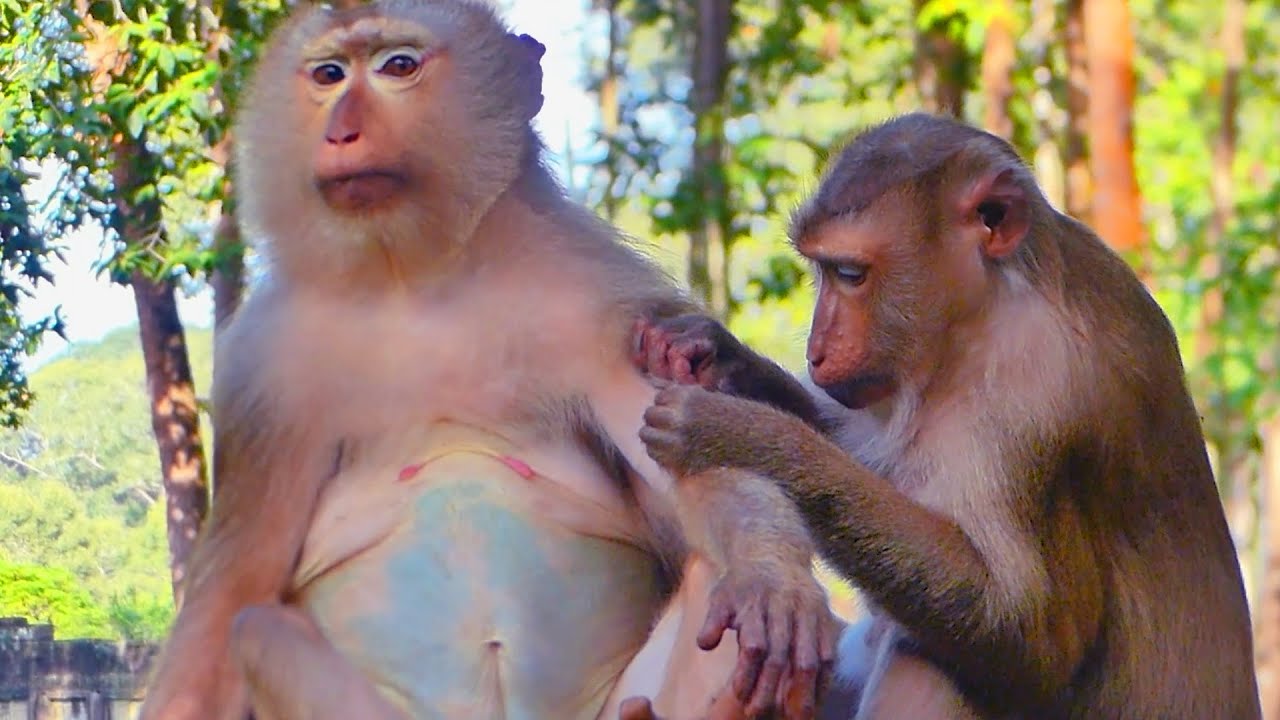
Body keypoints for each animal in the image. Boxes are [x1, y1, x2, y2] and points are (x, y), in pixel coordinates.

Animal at [135, 2, 846, 719]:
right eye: (328, 75)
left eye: (398, 66)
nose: (341, 132)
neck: (412, 275)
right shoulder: (265, 369)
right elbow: (236, 585)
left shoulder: (596, 295)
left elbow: (682, 447)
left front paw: (770, 578)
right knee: (257, 625)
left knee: (711, 583)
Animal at [628, 113, 1262, 719]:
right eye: (821, 270)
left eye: (850, 275)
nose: (817, 348)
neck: (982, 314)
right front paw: (718, 354)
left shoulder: (1036, 395)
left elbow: (1032, 637)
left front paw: (741, 436)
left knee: (934, 659)